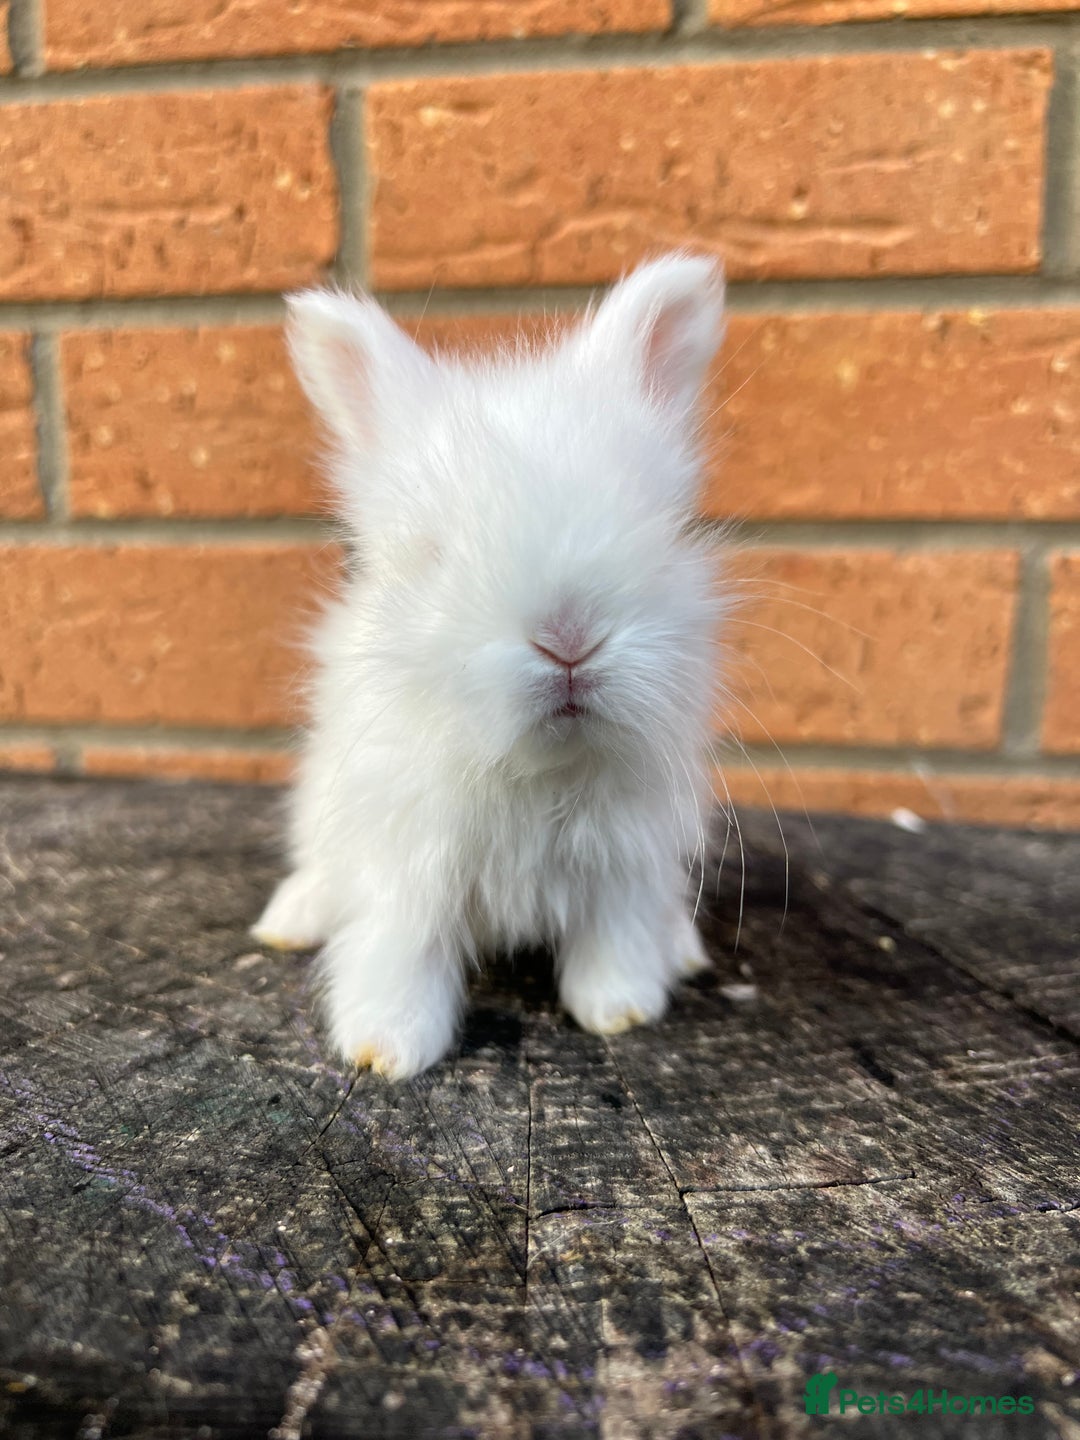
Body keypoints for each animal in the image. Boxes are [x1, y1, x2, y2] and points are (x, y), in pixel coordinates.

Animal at [252, 253, 728, 1081]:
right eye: (434, 553)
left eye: (657, 532)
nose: (568, 638)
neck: (535, 770)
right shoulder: (405, 861)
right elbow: (399, 952)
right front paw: (385, 1050)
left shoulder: (625, 862)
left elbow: (615, 940)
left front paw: (621, 1011)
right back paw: (291, 919)